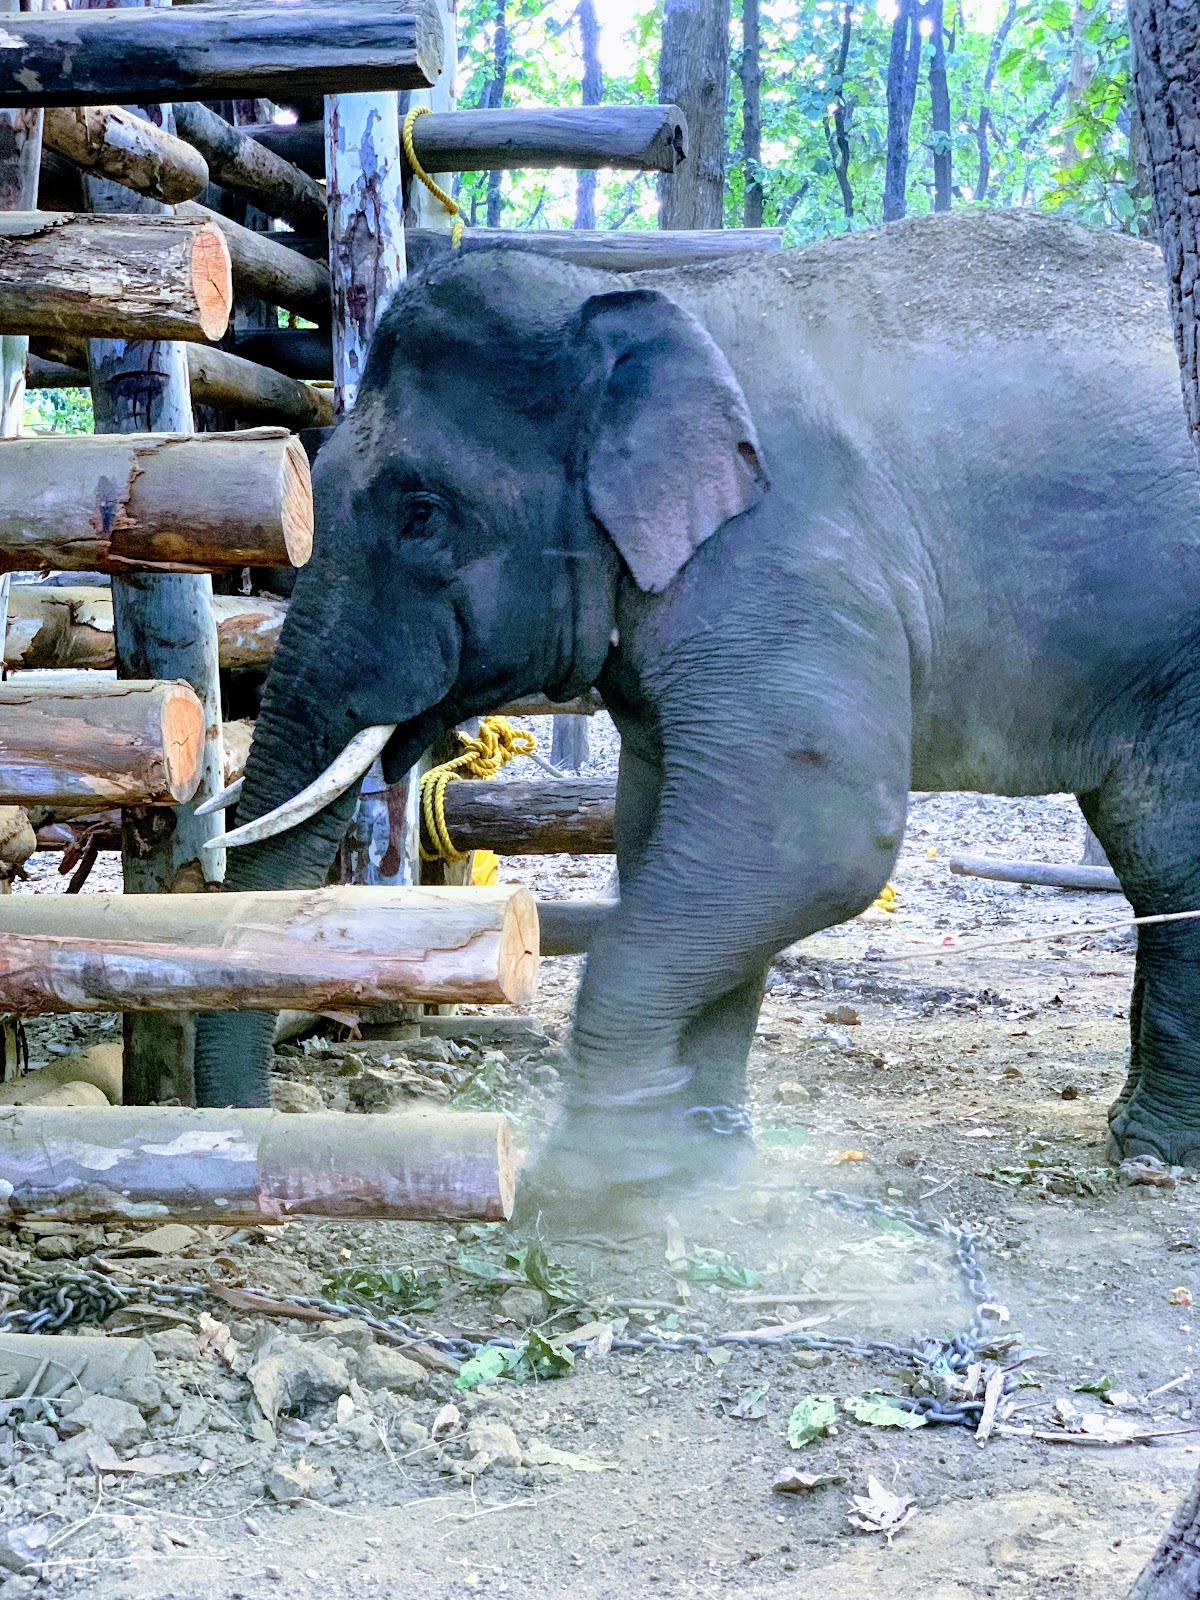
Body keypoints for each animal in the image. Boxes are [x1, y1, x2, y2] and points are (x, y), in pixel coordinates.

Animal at [194, 206, 1200, 1200]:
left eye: (421, 513)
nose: (252, 1133)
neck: (648, 303)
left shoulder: (784, 562)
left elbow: (814, 841)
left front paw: (601, 1182)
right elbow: (668, 838)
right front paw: (703, 1158)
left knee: (1163, 853)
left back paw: (1149, 1150)